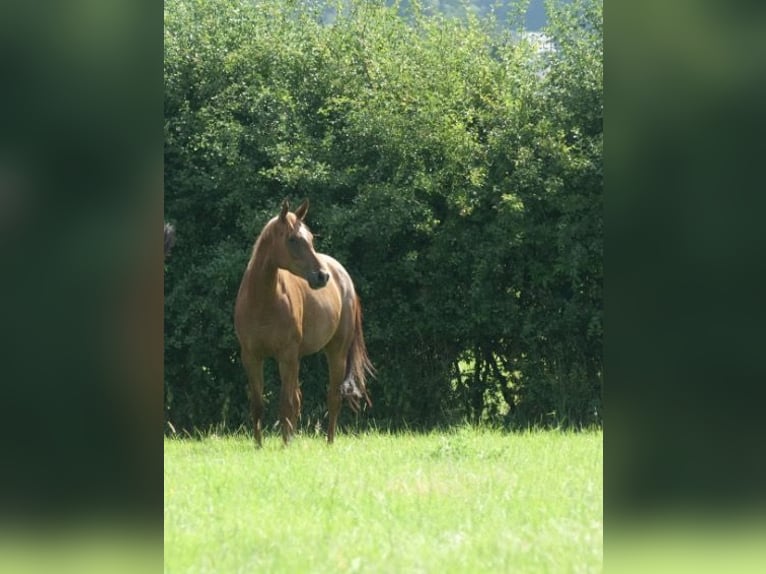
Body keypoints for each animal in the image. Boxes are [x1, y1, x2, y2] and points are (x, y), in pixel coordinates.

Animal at [234, 199, 374, 446]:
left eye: (310, 239)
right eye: (292, 239)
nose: (322, 276)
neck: (262, 302)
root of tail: (342, 275)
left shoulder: (286, 356)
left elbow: (286, 404)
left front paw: (285, 446)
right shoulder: (251, 357)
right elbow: (258, 405)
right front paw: (259, 446)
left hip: (335, 353)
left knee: (332, 398)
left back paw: (329, 442)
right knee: (299, 399)